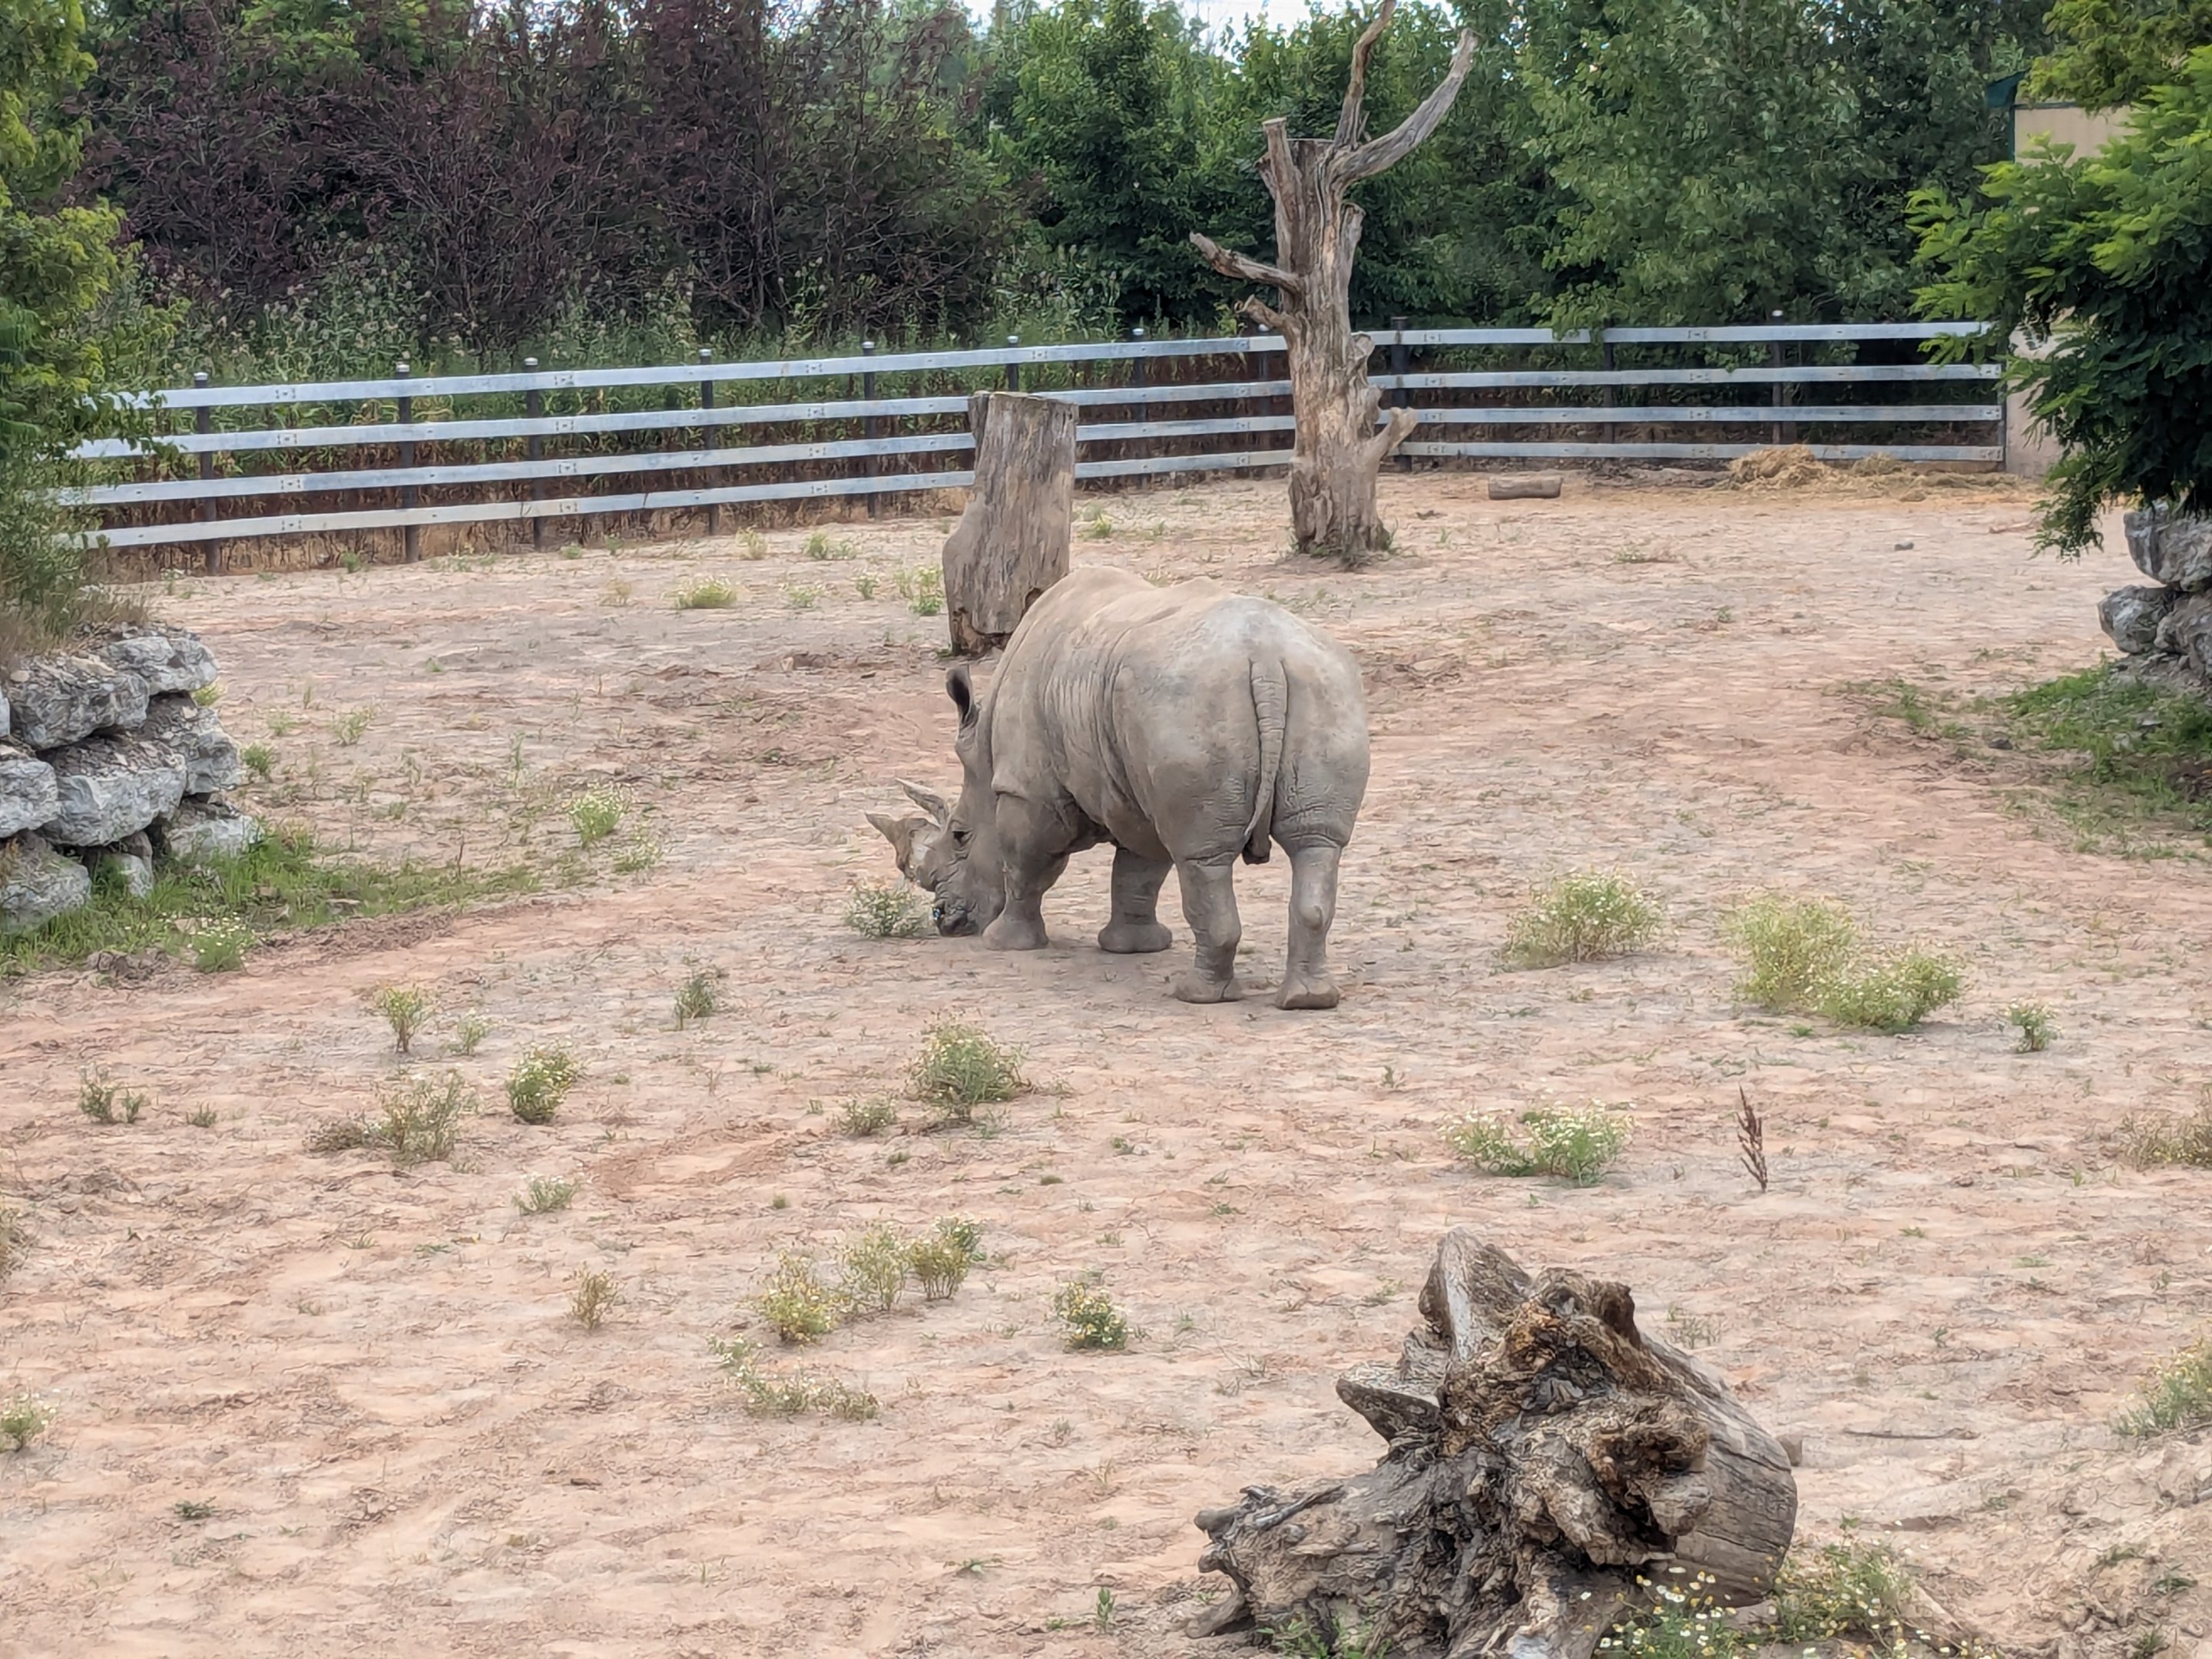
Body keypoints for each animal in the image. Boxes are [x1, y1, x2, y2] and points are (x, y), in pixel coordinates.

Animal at [870, 567, 1369, 1008]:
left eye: (959, 836)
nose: (944, 920)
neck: (984, 753)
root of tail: (1264, 659)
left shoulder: (1027, 792)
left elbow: (1025, 866)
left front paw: (1004, 943)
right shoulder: (1134, 788)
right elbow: (1139, 871)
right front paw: (1132, 948)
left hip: (1189, 705)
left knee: (1201, 857)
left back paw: (1196, 996)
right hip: (1320, 690)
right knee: (1314, 845)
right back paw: (1308, 1000)